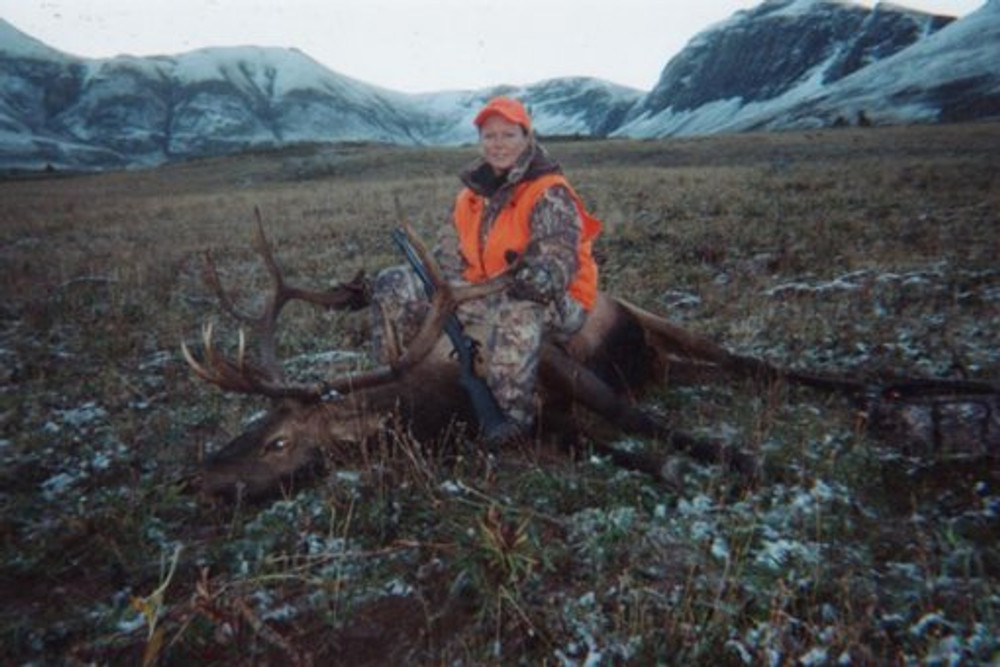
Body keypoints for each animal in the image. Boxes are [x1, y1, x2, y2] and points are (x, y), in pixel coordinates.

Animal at [188, 215, 1000, 500]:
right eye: (254, 426)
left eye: (280, 438)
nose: (201, 476)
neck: (439, 411)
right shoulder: (547, 430)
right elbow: (614, 449)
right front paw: (671, 468)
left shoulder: (560, 374)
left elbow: (652, 429)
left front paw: (748, 463)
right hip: (673, 362)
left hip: (667, 326)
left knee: (771, 367)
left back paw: (925, 386)